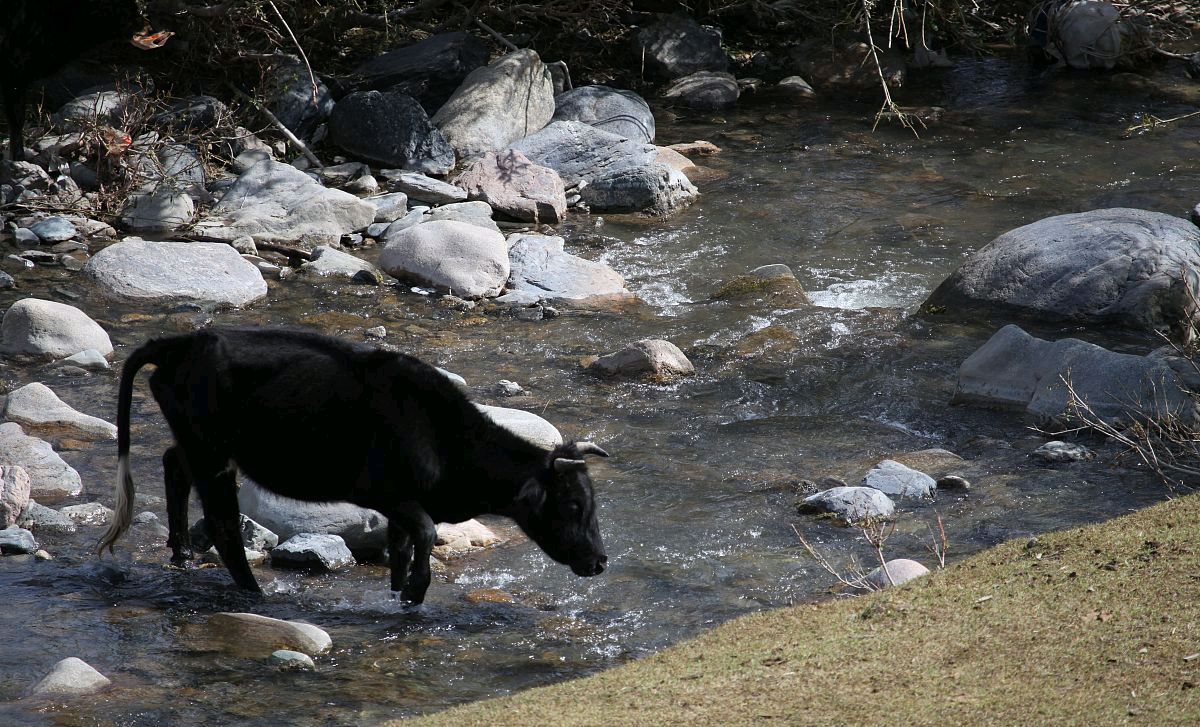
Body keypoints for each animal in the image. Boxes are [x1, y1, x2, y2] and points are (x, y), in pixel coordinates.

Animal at [98, 328, 609, 604]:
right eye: (570, 505)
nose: (601, 561)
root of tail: (183, 341)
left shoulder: (405, 503)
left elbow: (404, 541)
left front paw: (400, 586)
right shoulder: (383, 490)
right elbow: (426, 533)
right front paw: (414, 591)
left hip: (200, 446)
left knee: (172, 465)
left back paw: (182, 553)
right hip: (213, 455)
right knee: (223, 524)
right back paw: (254, 593)